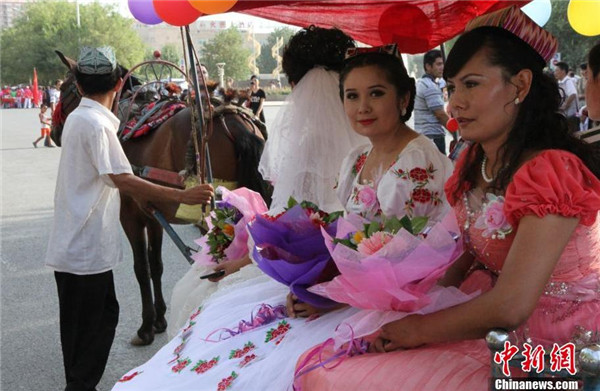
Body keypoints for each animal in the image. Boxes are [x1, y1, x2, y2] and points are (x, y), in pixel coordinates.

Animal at [53, 51, 270, 346]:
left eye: (64, 89)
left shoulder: (130, 214)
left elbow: (141, 267)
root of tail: (233, 121)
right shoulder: (153, 213)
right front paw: (159, 319)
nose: (54, 133)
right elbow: (156, 265)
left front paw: (146, 326)